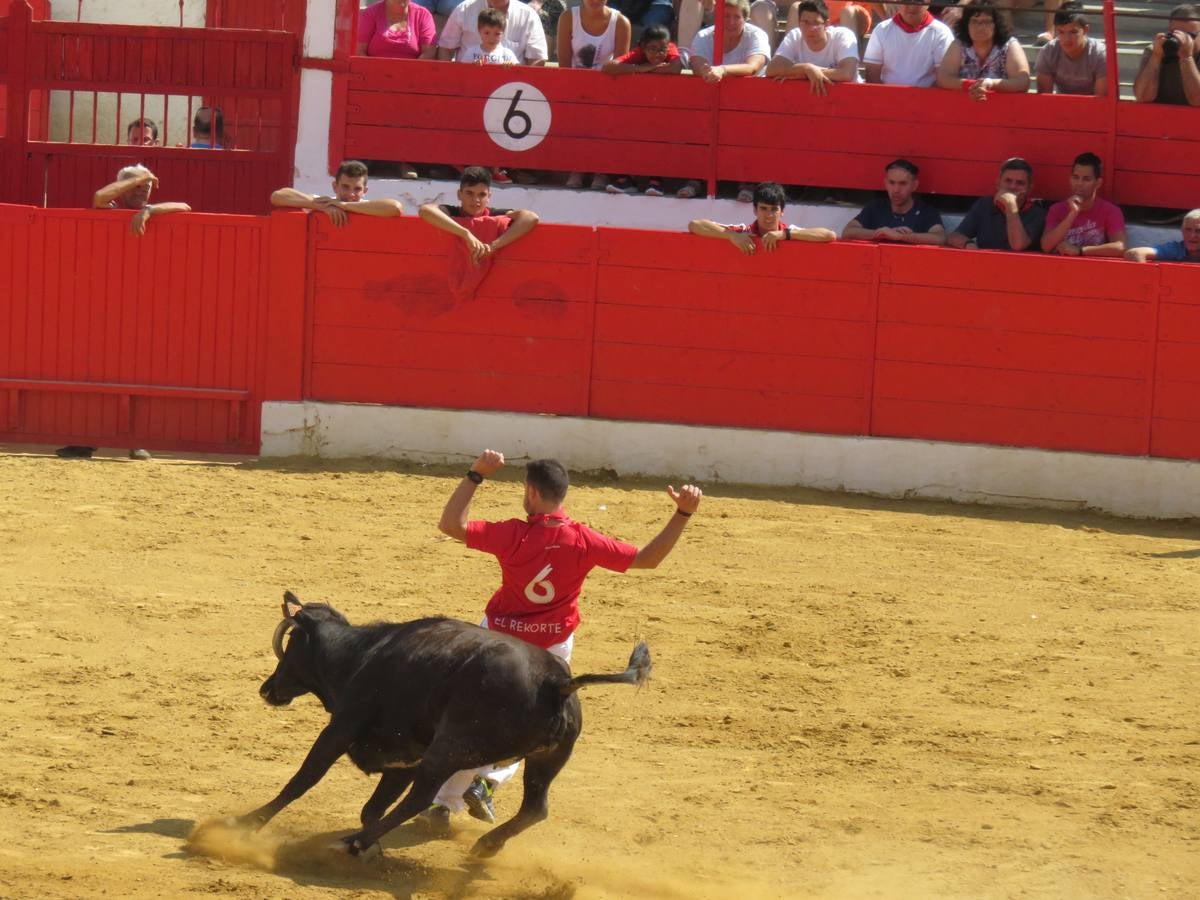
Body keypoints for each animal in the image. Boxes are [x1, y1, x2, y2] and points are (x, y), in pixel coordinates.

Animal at [229, 592, 652, 859]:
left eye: (293, 643)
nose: (268, 689)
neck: (362, 655)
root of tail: (555, 681)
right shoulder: (404, 758)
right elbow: (373, 806)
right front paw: (374, 846)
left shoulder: (341, 729)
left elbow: (303, 779)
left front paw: (247, 822)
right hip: (545, 759)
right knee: (535, 808)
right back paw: (484, 847)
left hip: (450, 749)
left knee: (421, 798)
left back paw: (352, 844)